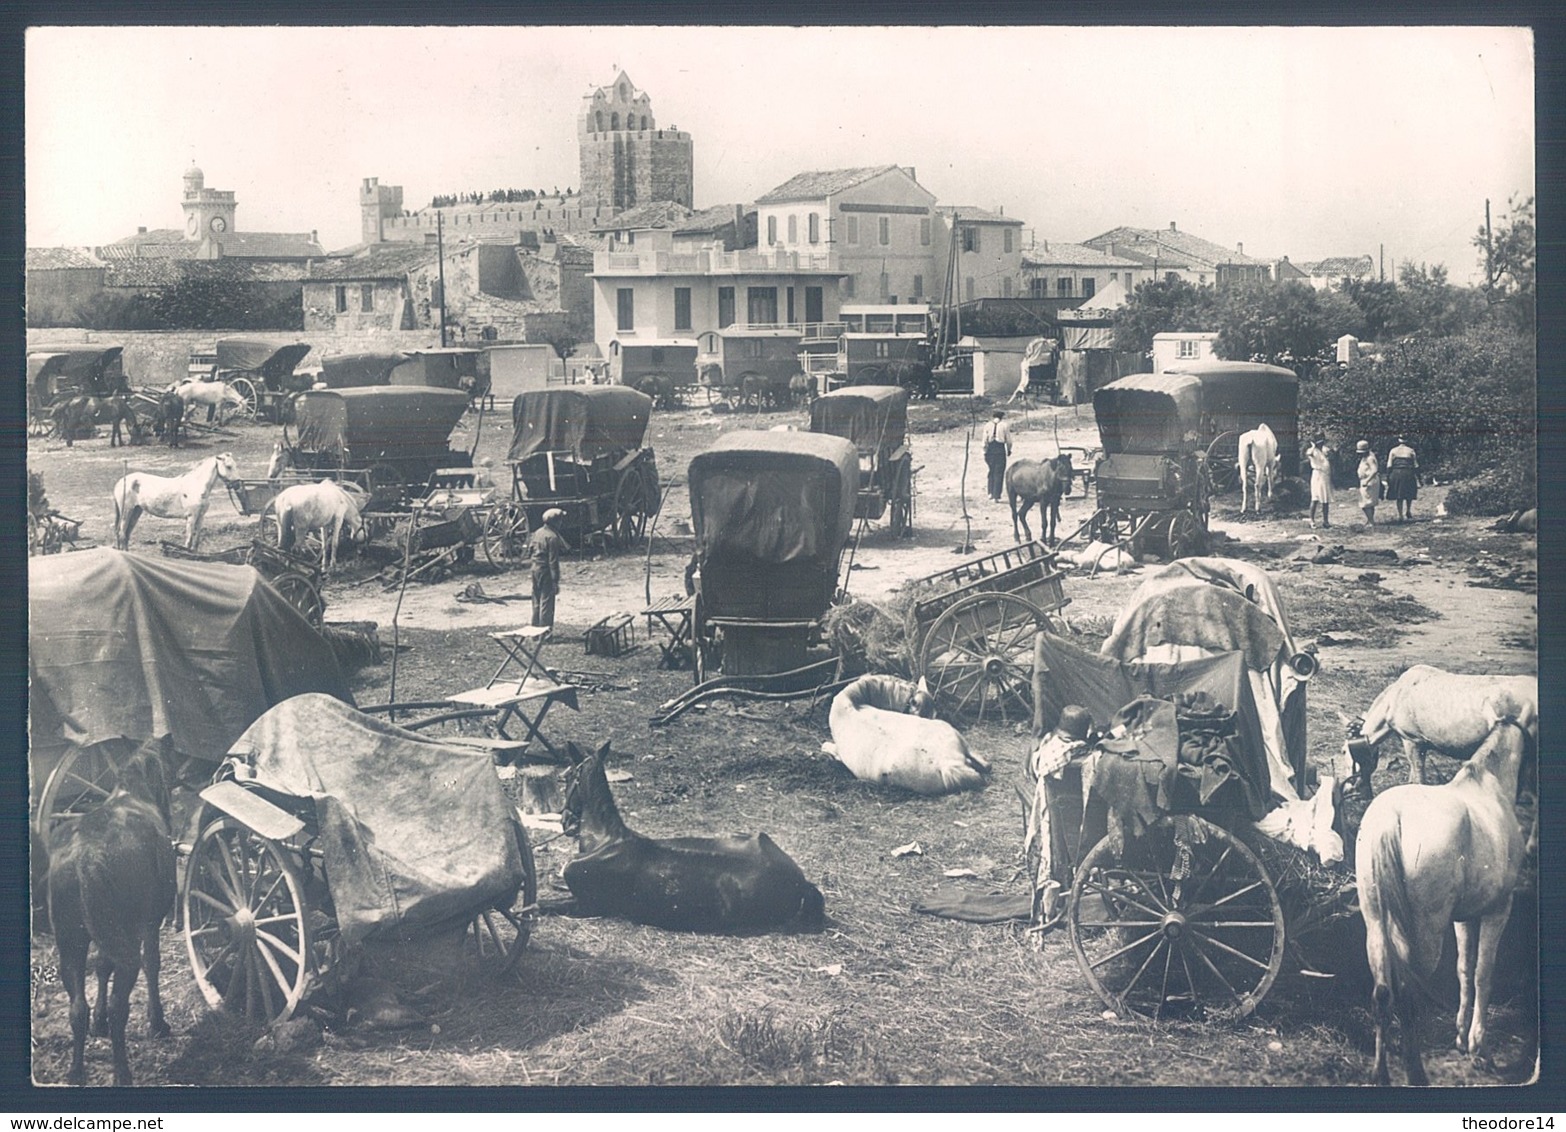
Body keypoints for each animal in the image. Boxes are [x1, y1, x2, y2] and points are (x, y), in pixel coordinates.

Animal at [46, 739, 176, 1083]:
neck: (132, 793)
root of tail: (85, 859)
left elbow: (102, 967)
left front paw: (99, 1022)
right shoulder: (150, 921)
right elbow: (152, 964)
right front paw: (157, 1023)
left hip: (71, 942)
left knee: (77, 1007)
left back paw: (76, 1073)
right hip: (123, 939)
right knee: (121, 1005)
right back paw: (122, 1072)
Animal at [110, 457, 238, 554]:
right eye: (228, 466)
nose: (237, 483)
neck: (196, 486)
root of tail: (121, 481)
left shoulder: (200, 517)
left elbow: (196, 541)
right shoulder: (191, 517)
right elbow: (189, 540)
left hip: (136, 511)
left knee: (126, 534)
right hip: (127, 511)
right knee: (122, 533)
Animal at [1359, 692, 1528, 1089]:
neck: (1487, 786)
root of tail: (1390, 817)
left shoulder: (1464, 918)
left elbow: (1463, 970)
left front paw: (1461, 1037)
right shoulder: (1497, 911)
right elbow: (1482, 974)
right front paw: (1478, 1047)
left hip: (1376, 926)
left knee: (1383, 992)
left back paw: (1380, 1073)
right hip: (1425, 931)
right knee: (1407, 992)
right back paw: (1415, 1072)